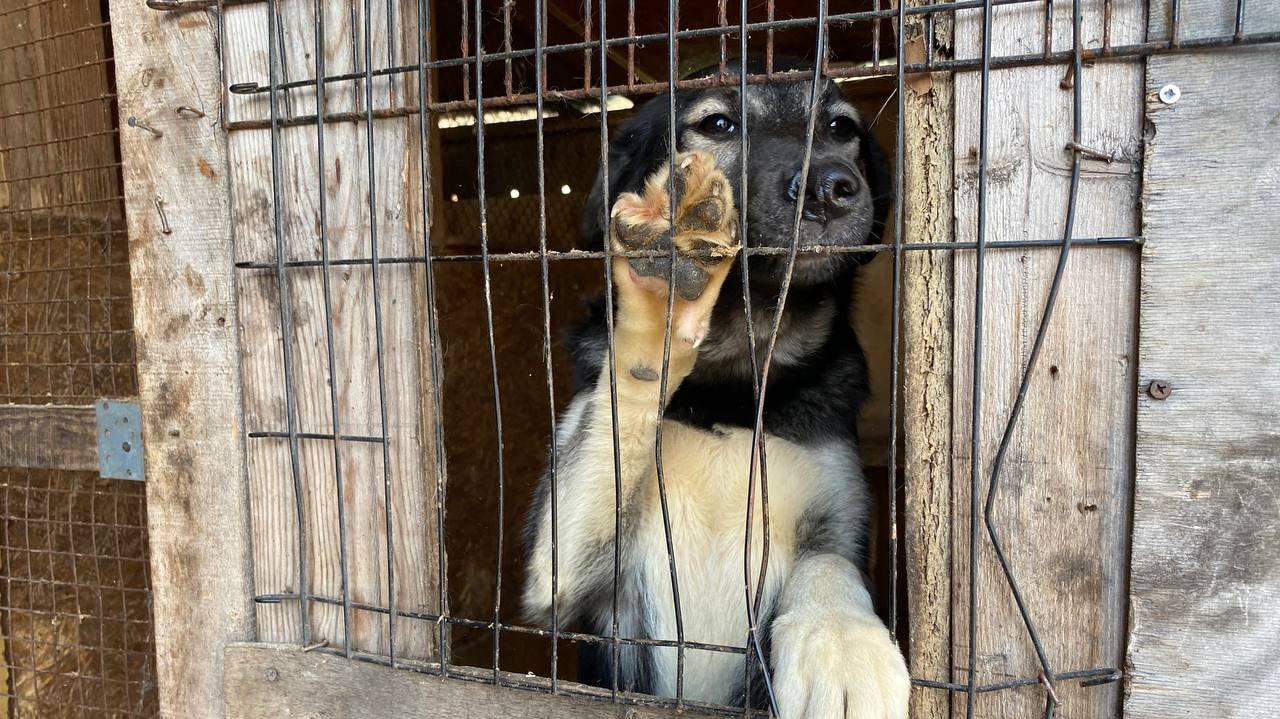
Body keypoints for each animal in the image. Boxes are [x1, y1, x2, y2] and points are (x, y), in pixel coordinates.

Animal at [519, 57, 911, 716]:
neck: (731, 386)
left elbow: (829, 566)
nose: (829, 187)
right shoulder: (564, 567)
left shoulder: (840, 517)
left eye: (840, 127)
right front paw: (662, 302)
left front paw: (842, 642)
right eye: (718, 124)